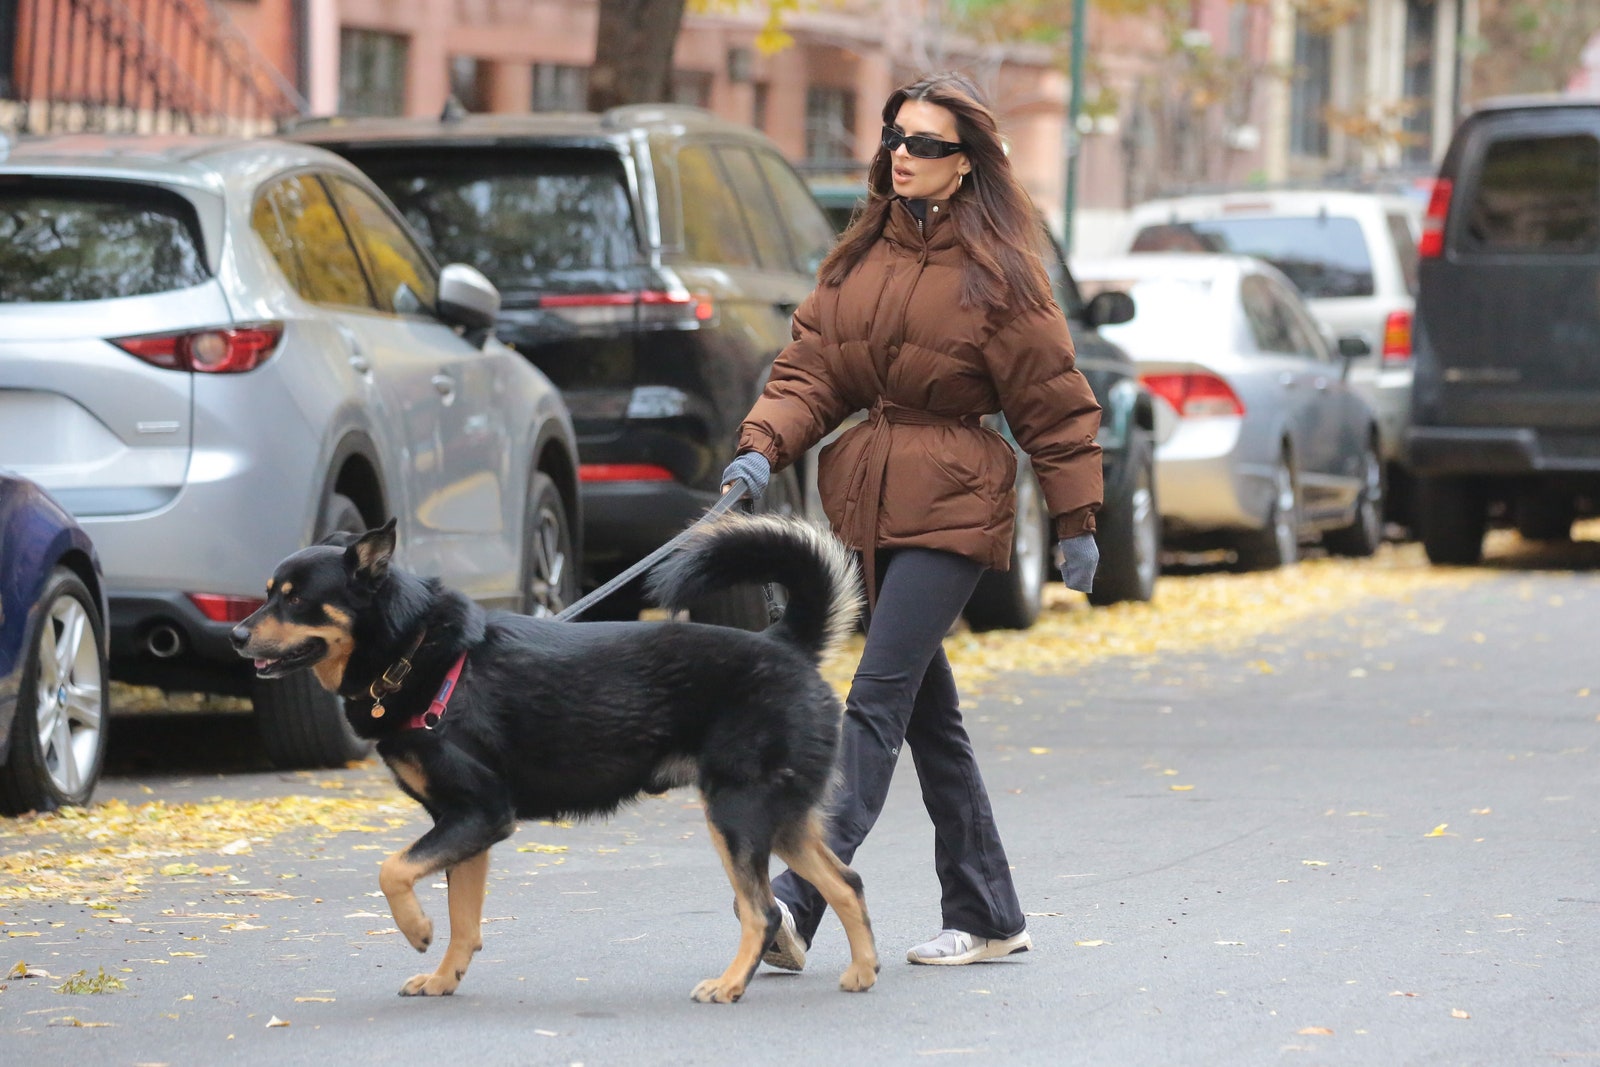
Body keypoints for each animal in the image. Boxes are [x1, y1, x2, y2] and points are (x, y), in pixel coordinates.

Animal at [228, 511, 876, 1004]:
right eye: (268, 594)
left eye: (297, 601)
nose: (236, 635)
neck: (412, 655)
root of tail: (785, 644)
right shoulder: (464, 826)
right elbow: (463, 920)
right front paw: (443, 978)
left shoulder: (480, 814)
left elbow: (392, 871)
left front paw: (416, 930)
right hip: (779, 819)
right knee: (846, 883)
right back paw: (862, 971)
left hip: (737, 816)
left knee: (761, 911)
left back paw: (730, 985)